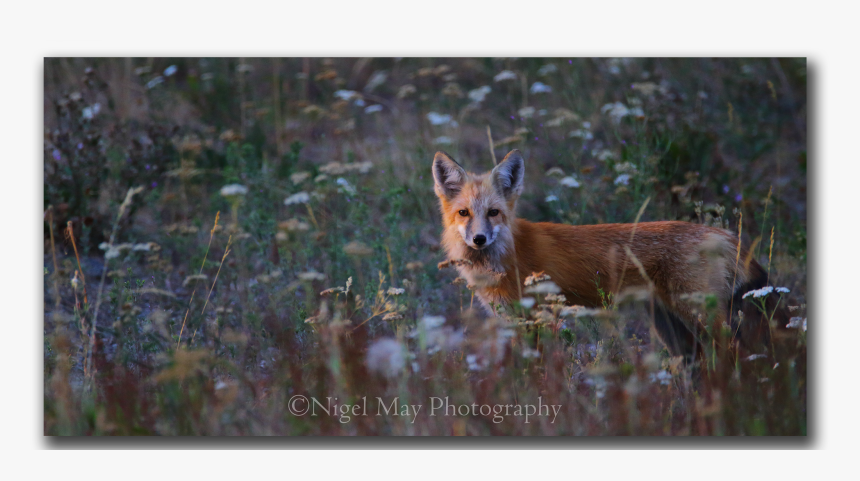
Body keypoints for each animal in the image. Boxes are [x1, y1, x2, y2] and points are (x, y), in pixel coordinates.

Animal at [432, 149, 774, 363]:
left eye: (493, 213)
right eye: (463, 213)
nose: (479, 239)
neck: (507, 253)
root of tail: (723, 234)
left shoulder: (536, 319)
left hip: (701, 317)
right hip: (671, 328)